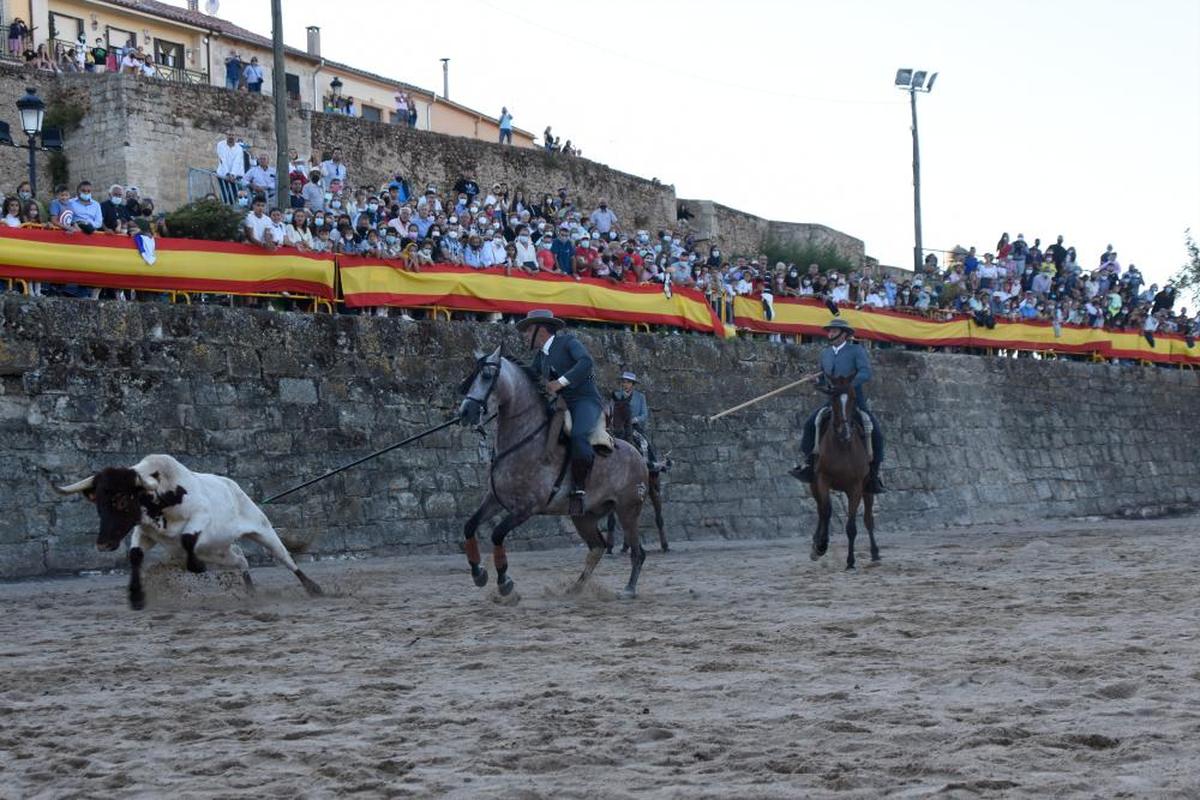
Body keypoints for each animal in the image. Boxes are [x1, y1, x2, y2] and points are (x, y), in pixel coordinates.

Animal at [55, 453, 321, 609]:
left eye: (121, 500)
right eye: (98, 502)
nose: (103, 544)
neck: (163, 495)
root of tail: (233, 487)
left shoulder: (201, 517)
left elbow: (186, 538)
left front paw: (195, 566)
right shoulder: (145, 532)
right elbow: (135, 555)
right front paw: (136, 596)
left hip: (262, 530)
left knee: (285, 558)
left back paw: (313, 588)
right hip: (221, 551)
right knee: (240, 560)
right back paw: (250, 591)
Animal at [456, 347, 648, 597]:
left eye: (487, 376)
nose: (465, 412)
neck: (525, 439)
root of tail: (638, 454)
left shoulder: (526, 508)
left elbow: (497, 534)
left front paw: (504, 581)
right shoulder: (495, 500)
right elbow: (470, 526)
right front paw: (478, 573)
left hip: (628, 512)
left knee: (637, 552)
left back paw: (629, 589)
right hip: (584, 516)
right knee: (598, 547)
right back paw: (576, 588)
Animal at [604, 395, 672, 556]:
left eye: (628, 411)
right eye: (614, 411)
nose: (618, 431)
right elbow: (613, 519)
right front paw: (610, 545)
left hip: (653, 487)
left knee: (657, 515)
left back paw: (664, 545)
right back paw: (625, 545)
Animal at [811, 376, 878, 568]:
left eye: (854, 398)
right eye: (833, 398)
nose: (844, 432)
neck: (842, 445)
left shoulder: (855, 487)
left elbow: (851, 526)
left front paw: (850, 561)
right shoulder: (822, 480)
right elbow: (826, 511)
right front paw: (821, 545)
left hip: (867, 489)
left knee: (868, 519)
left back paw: (875, 553)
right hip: (814, 485)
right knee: (820, 510)